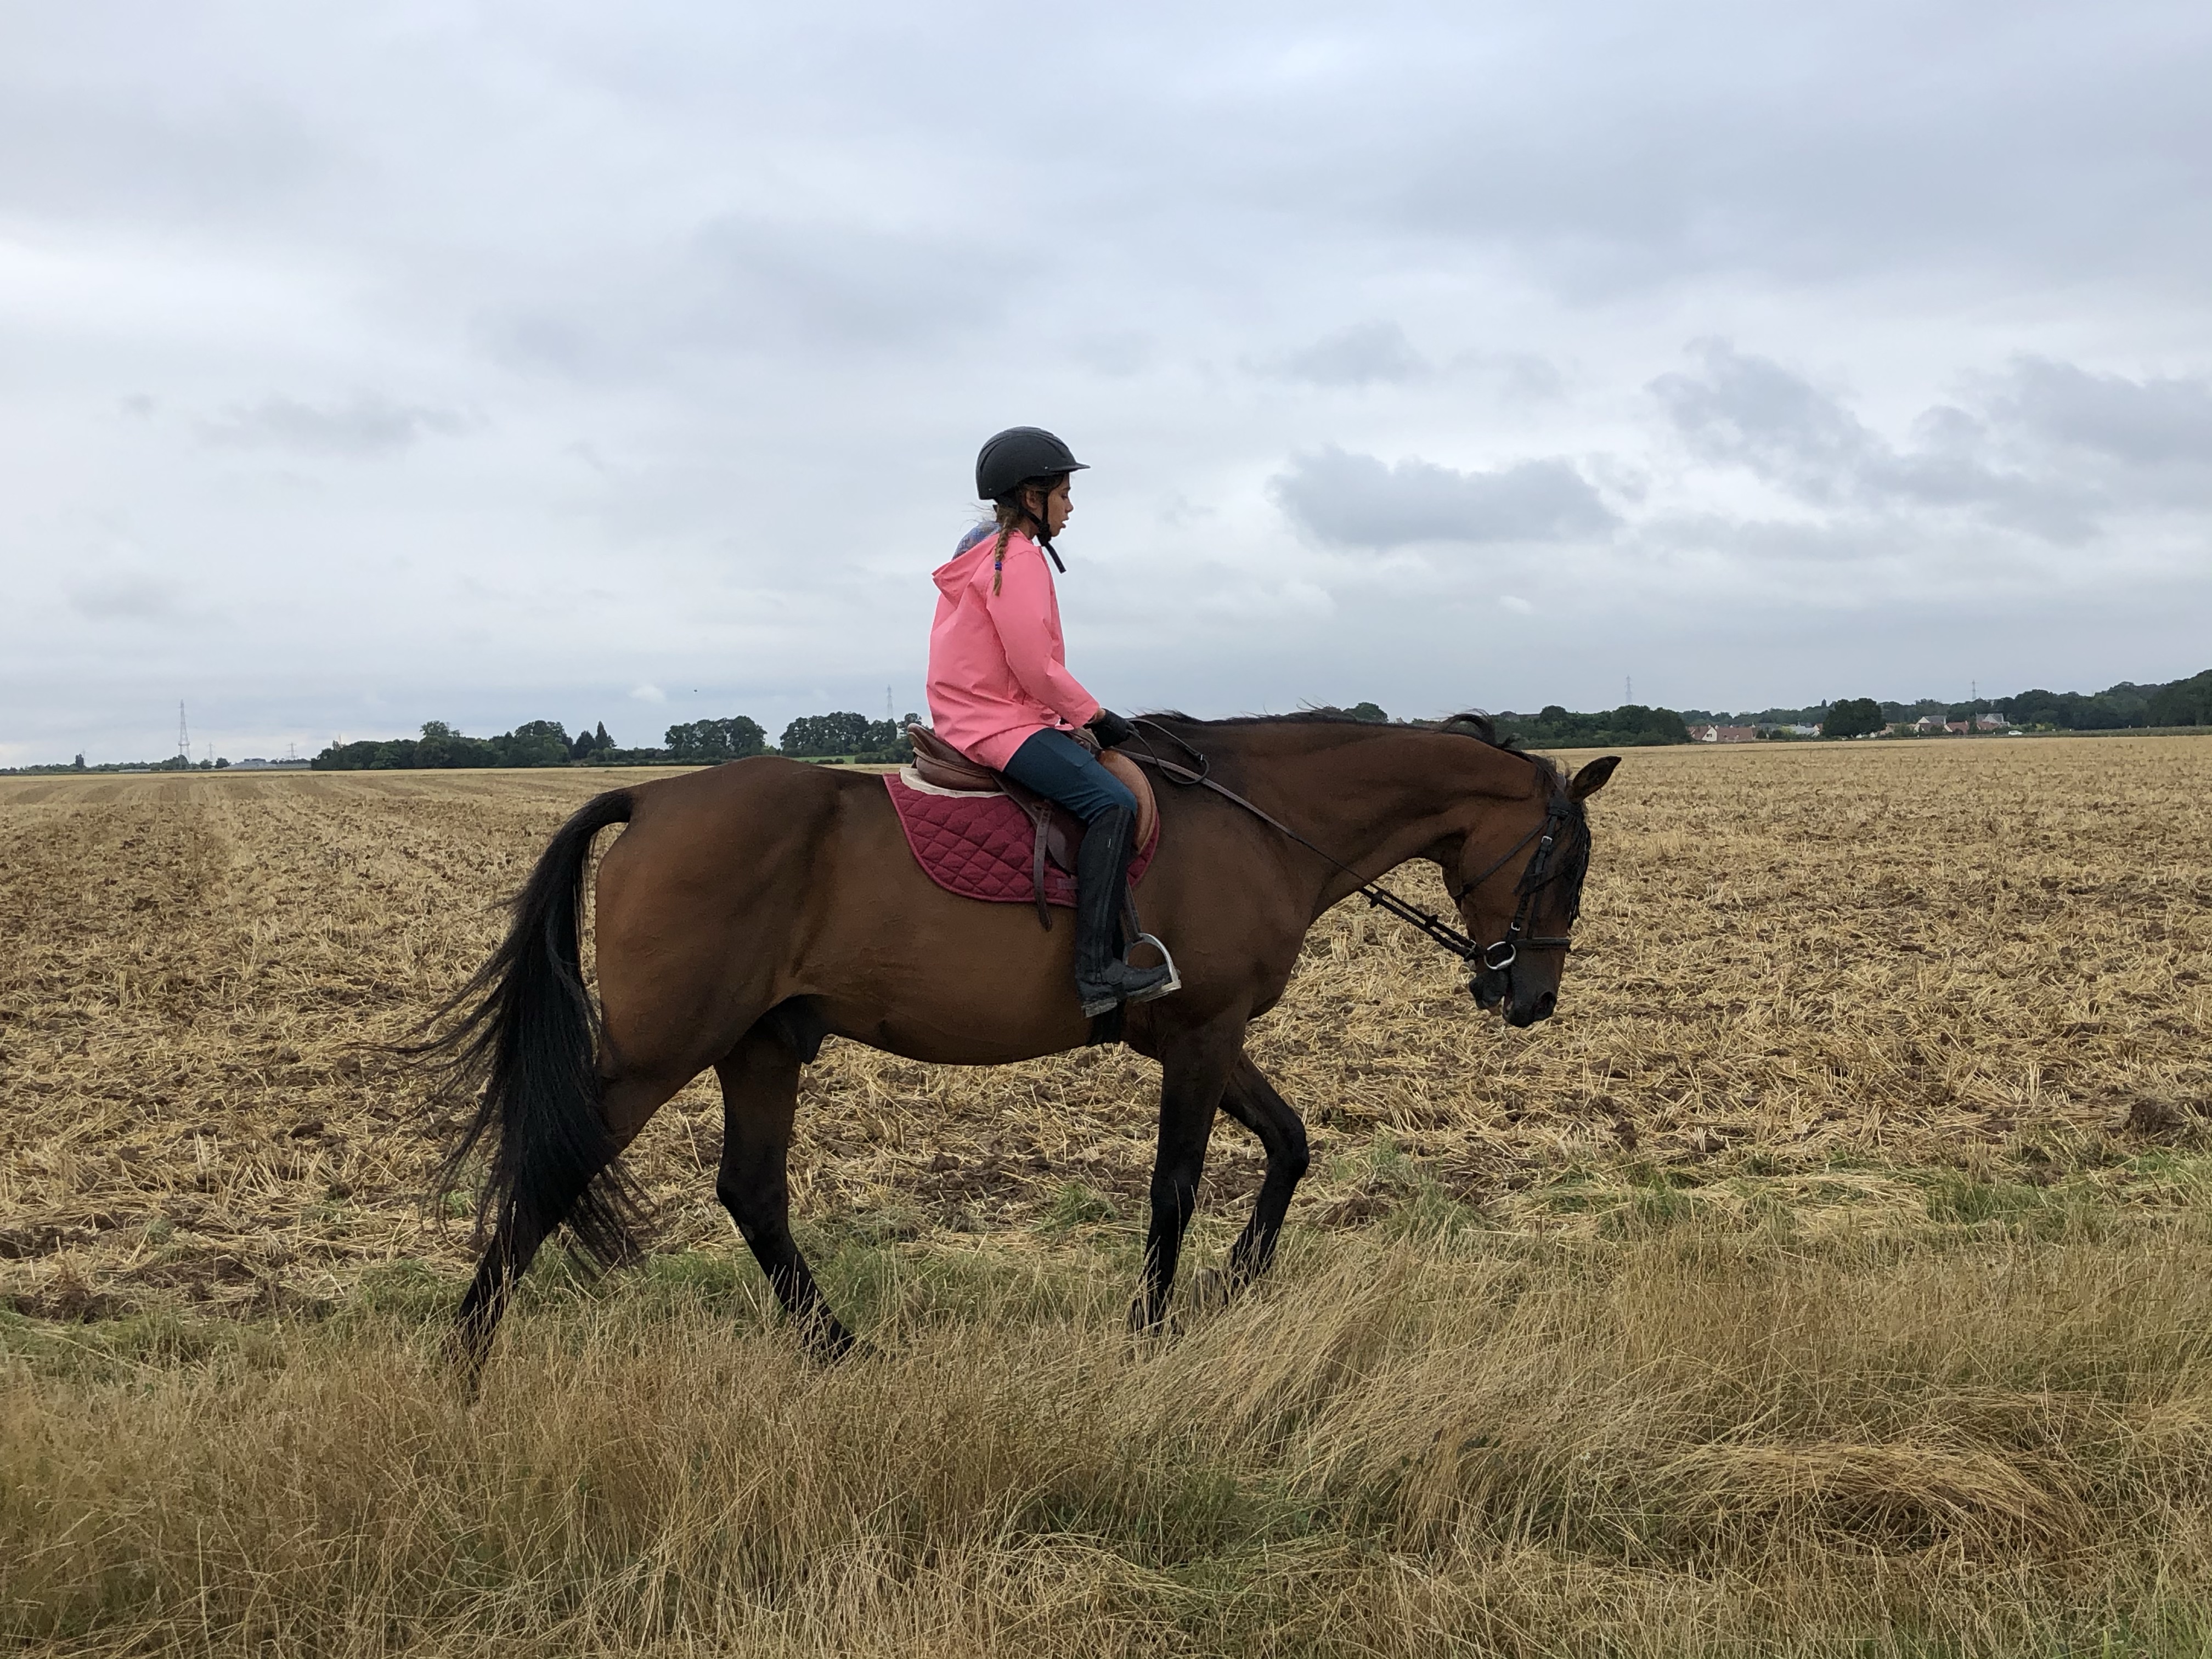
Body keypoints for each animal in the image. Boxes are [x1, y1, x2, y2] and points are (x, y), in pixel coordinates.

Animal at [414, 712, 1618, 1374]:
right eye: (1564, 863)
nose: (1531, 997)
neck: (1258, 818)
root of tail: (651, 801)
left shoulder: (1205, 1034)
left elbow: (1289, 1144)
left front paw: (1234, 1283)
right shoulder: (1199, 1035)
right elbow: (1177, 1184)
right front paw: (1153, 1328)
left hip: (759, 1046)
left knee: (752, 1191)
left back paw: (839, 1350)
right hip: (663, 1053)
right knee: (558, 1164)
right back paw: (465, 1356)